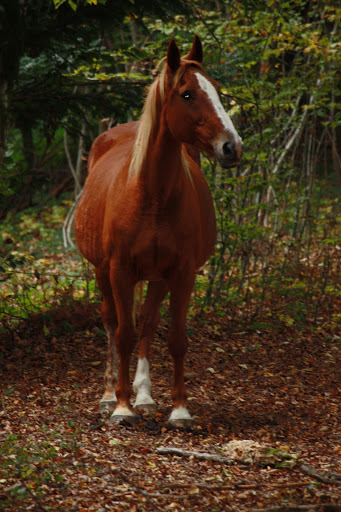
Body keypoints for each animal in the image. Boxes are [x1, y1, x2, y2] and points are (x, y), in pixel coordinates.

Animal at [74, 36, 242, 428]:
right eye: (186, 94)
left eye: (216, 89)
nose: (232, 147)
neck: (150, 195)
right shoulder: (119, 270)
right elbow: (123, 334)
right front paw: (121, 407)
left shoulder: (181, 272)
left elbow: (175, 338)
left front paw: (178, 409)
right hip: (102, 272)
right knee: (111, 322)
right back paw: (109, 396)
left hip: (157, 277)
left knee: (149, 324)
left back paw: (146, 397)